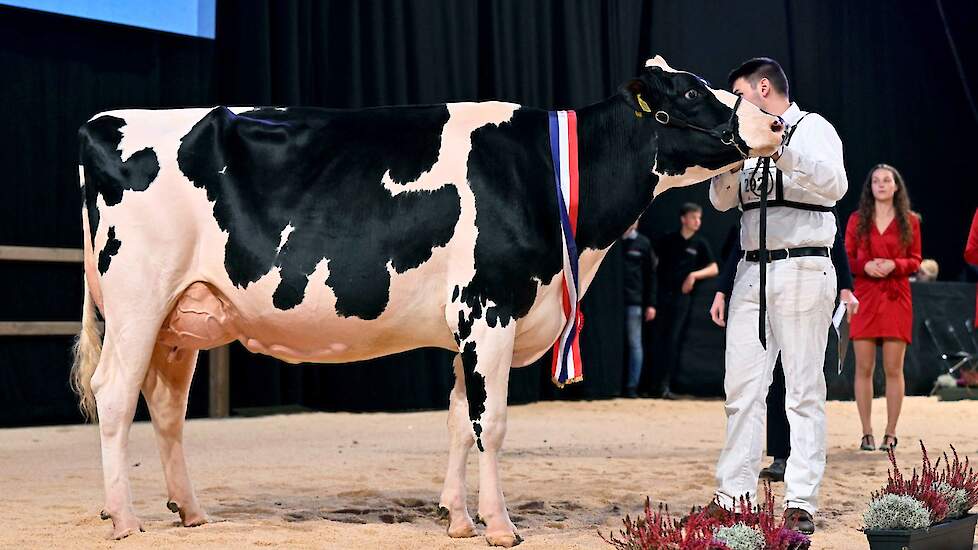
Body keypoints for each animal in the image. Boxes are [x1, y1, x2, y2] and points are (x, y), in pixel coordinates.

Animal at [72, 57, 780, 548]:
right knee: (114, 394)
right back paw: (125, 518)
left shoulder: (466, 325)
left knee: (165, 407)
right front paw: (500, 525)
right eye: (690, 94)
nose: (774, 122)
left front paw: (458, 518)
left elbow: (458, 422)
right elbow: (491, 424)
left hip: (182, 317)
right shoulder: (490, 309)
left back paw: (189, 512)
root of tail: (103, 122)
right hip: (139, 300)